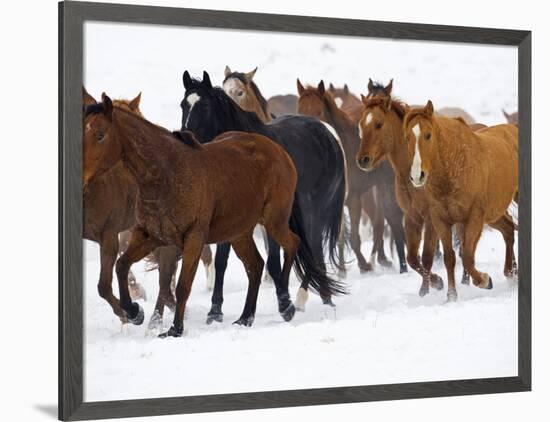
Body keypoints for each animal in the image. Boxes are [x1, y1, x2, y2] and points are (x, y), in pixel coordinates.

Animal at [83, 95, 328, 336]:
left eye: (100, 135)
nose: (82, 177)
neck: (166, 173)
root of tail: (278, 150)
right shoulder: (148, 236)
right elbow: (122, 266)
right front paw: (134, 312)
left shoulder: (193, 238)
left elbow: (182, 285)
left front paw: (175, 329)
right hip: (239, 233)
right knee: (255, 266)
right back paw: (245, 318)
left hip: (273, 221)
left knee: (292, 243)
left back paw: (286, 305)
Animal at [181, 71, 348, 324]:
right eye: (183, 104)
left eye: (206, 106)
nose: (186, 136)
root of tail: (329, 135)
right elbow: (222, 262)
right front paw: (215, 311)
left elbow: (273, 261)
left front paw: (284, 303)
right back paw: (324, 296)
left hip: (314, 214)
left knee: (313, 248)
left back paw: (304, 298)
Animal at [298, 79, 410, 274]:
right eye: (299, 111)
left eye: (318, 112)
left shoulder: (354, 198)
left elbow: (354, 236)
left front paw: (363, 265)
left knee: (380, 221)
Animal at [404, 101, 520, 302]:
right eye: (408, 137)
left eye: (428, 135)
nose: (417, 176)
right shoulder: (441, 220)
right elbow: (450, 258)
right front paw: (451, 295)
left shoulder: (473, 218)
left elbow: (466, 255)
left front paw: (484, 280)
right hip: (494, 213)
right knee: (508, 229)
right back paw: (511, 273)